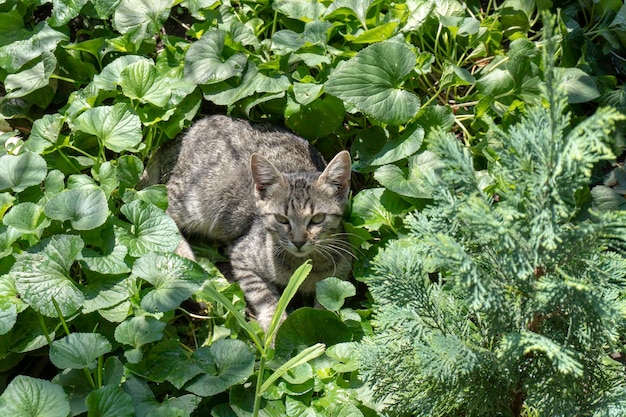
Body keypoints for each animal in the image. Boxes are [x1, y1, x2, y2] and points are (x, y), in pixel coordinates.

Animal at [140, 115, 352, 330]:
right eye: (282, 219)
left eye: (317, 218)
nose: (298, 242)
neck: (304, 263)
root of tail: (200, 122)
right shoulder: (242, 257)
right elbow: (266, 298)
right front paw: (275, 328)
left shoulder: (340, 274)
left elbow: (325, 309)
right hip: (195, 201)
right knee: (154, 209)